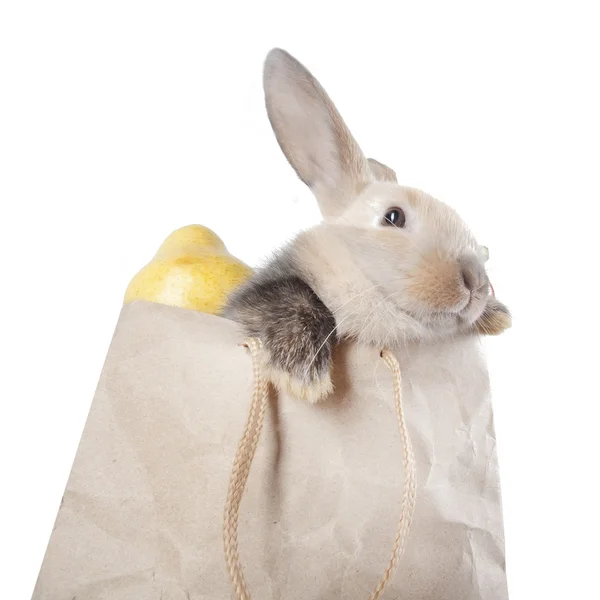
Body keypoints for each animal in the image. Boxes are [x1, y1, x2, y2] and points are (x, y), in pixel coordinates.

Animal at [224, 48, 510, 404]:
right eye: (393, 217)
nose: (476, 282)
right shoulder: (253, 299)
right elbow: (294, 297)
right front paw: (303, 376)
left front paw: (497, 314)